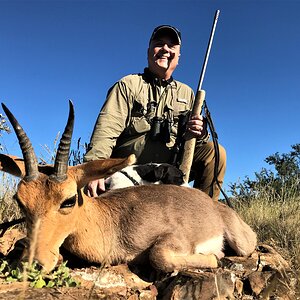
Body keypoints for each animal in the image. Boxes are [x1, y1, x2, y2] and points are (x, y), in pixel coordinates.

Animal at [0, 101, 256, 274]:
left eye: (69, 200)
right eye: (20, 201)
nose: (32, 264)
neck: (112, 222)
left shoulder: (175, 238)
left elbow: (158, 256)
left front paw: (216, 256)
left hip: (242, 243)